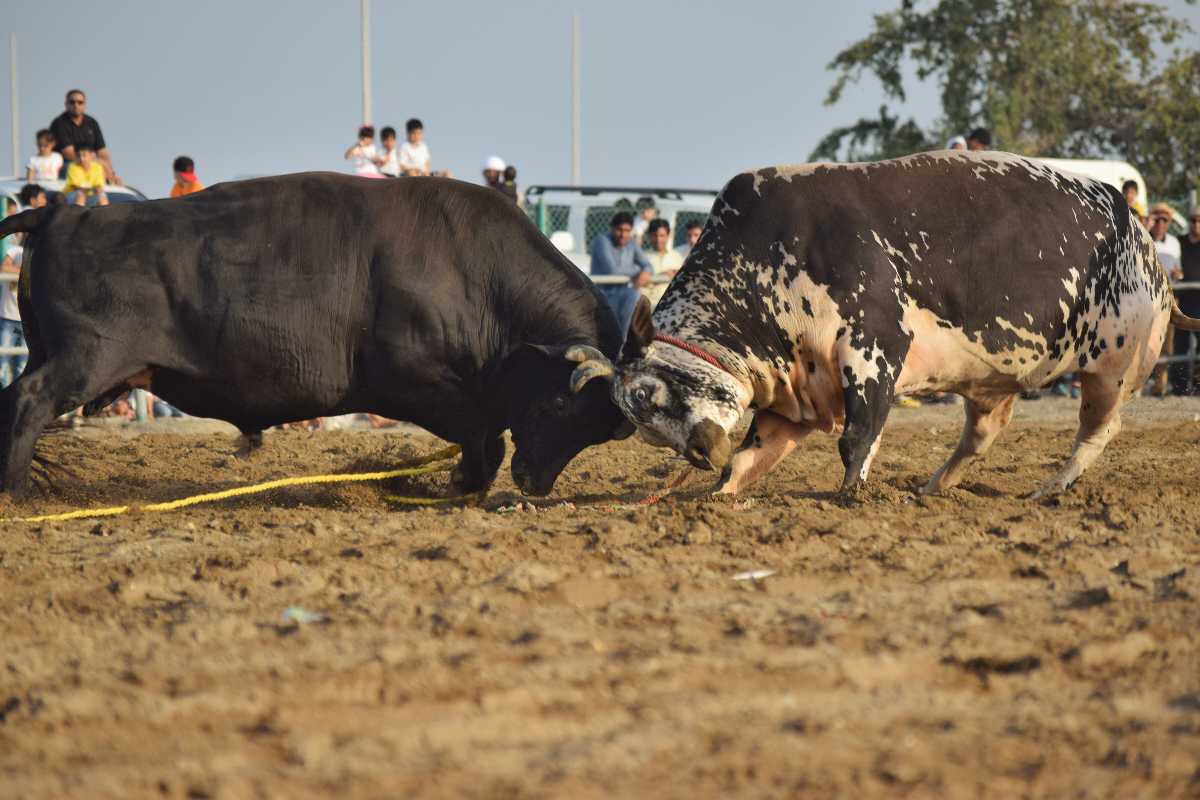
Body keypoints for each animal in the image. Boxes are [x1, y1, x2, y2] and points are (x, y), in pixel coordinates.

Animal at [0, 173, 631, 498]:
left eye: (595, 432)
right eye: (558, 404)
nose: (535, 482)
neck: (475, 272)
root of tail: (63, 213)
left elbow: (486, 436)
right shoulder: (418, 382)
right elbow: (484, 436)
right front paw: (462, 483)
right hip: (87, 358)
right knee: (28, 401)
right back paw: (16, 491)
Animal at [566, 151, 1200, 498]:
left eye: (650, 394)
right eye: (643, 428)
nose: (698, 452)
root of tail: (1141, 235)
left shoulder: (873, 346)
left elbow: (858, 436)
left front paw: (852, 497)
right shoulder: (796, 388)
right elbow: (751, 455)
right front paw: (716, 492)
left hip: (1114, 367)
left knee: (1099, 430)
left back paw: (1050, 489)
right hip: (994, 382)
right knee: (981, 434)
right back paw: (933, 487)